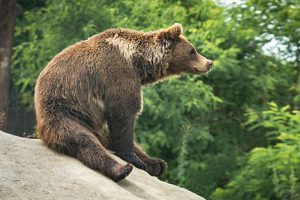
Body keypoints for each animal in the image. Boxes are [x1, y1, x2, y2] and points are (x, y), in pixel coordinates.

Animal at [34, 23, 213, 181]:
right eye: (193, 50)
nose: (209, 63)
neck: (138, 62)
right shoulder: (118, 75)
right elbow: (123, 114)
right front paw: (132, 159)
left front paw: (148, 162)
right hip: (66, 112)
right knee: (83, 140)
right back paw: (122, 169)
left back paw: (157, 163)